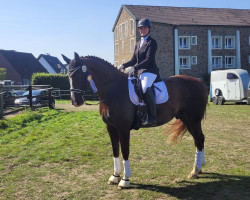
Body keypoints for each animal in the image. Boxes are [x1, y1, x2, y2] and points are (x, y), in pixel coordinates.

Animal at [63, 52, 209, 188]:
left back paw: (195, 171)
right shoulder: (111, 127)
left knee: (199, 139)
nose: (75, 101)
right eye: (68, 75)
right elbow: (115, 150)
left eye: (78, 74)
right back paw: (200, 167)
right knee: (199, 139)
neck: (113, 89)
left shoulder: (123, 129)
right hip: (187, 119)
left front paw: (125, 179)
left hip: (193, 119)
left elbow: (125, 151)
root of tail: (200, 82)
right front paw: (115, 176)